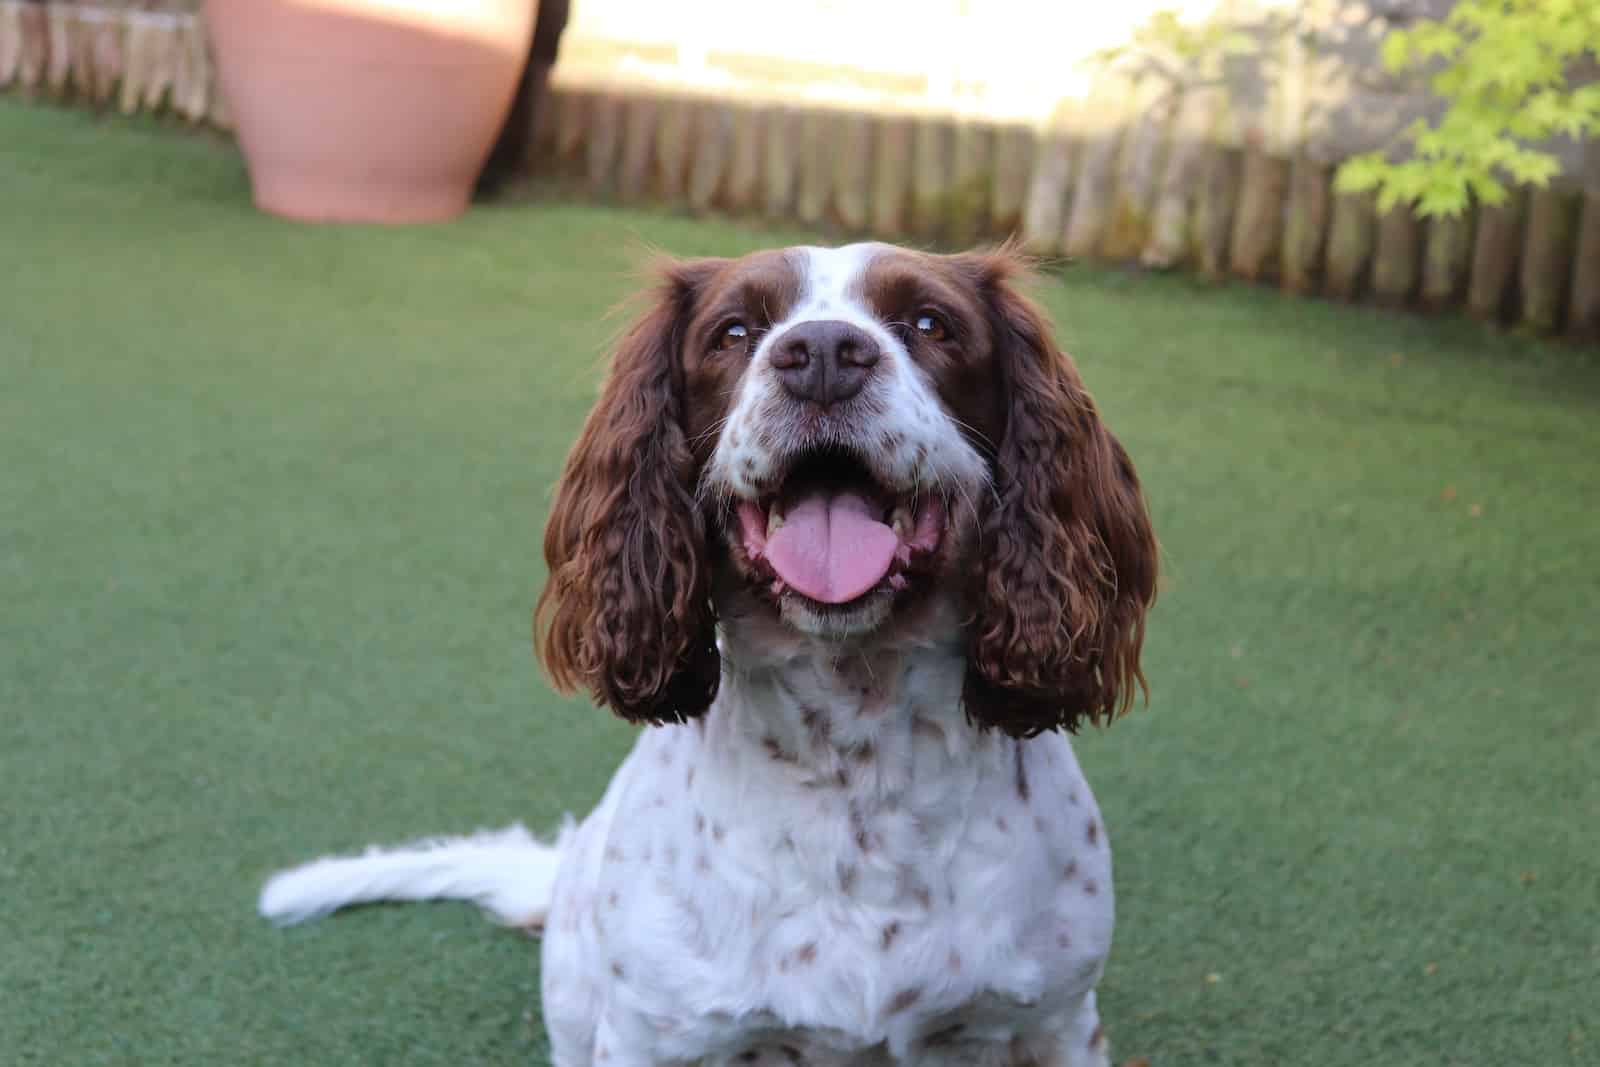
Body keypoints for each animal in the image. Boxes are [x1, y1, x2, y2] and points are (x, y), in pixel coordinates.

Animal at [265, 244, 1164, 1067]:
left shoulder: (1056, 1025)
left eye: (930, 323)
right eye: (734, 331)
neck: (858, 757)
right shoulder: (654, 1035)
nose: (824, 353)